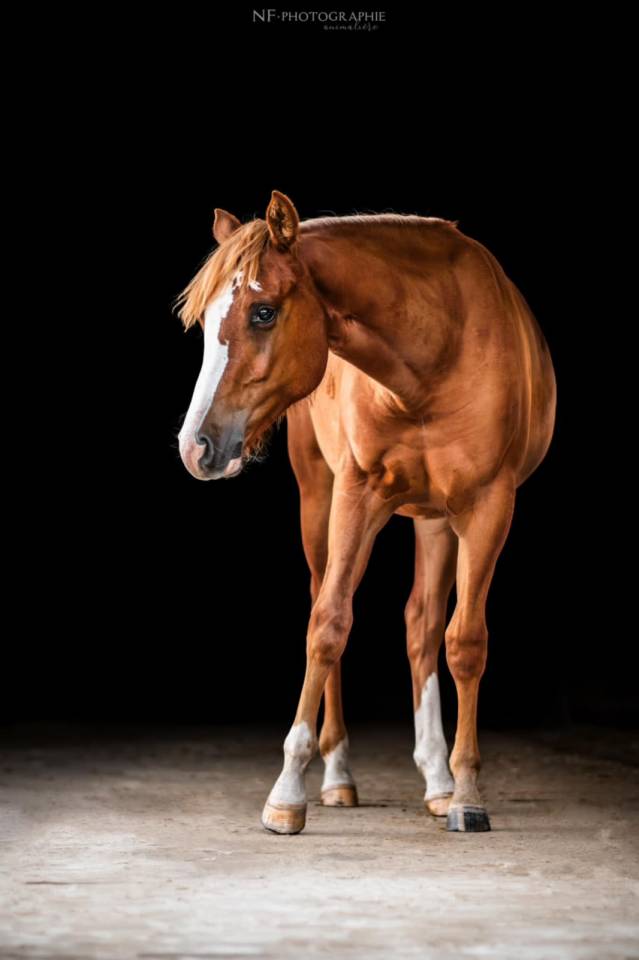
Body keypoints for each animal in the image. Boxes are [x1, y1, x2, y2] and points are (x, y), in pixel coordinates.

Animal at [175, 191, 557, 835]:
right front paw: (287, 794)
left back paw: (437, 779)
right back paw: (337, 776)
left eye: (263, 313)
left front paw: (467, 792)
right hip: (319, 495)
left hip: (436, 518)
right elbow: (328, 625)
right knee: (326, 600)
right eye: (203, 323)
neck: (435, 354)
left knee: (422, 625)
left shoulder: (488, 506)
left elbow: (465, 641)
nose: (195, 447)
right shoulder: (357, 493)